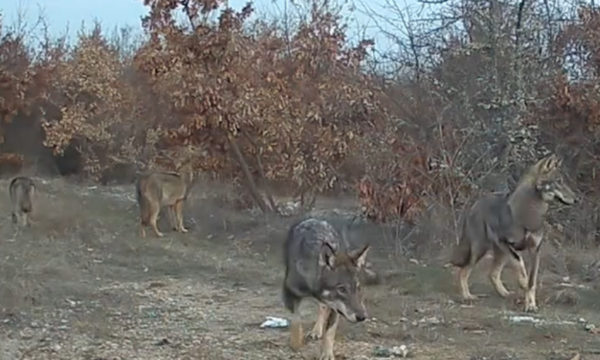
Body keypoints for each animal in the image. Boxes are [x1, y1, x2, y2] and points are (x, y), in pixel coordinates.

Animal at [282, 217, 370, 360]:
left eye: (358, 288)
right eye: (342, 289)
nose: (362, 317)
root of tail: (315, 219)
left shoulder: (336, 308)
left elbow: (329, 332)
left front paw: (327, 354)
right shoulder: (290, 292)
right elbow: (296, 319)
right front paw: (296, 344)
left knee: (323, 307)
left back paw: (316, 331)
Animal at [450, 155, 576, 312]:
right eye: (559, 181)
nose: (576, 199)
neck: (530, 213)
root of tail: (475, 205)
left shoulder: (535, 250)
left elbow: (532, 282)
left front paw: (531, 305)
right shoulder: (508, 245)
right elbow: (521, 269)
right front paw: (524, 288)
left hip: (501, 254)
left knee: (492, 274)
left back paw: (505, 294)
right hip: (481, 250)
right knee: (463, 271)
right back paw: (468, 296)